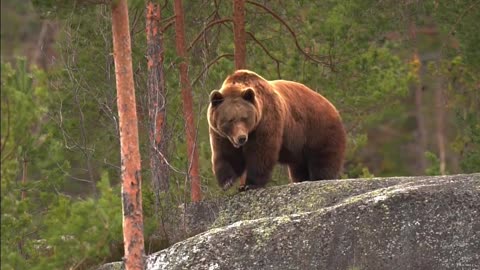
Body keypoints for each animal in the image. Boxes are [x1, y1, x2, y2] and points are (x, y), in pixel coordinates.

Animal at [206, 69, 344, 191]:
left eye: (244, 118)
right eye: (230, 120)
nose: (241, 138)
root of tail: (333, 108)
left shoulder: (266, 120)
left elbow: (261, 152)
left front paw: (250, 184)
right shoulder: (221, 134)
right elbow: (227, 153)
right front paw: (227, 182)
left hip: (319, 130)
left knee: (323, 160)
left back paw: (320, 178)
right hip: (300, 148)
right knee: (299, 168)